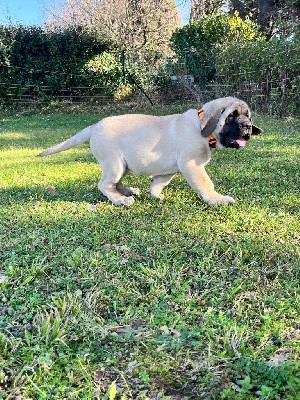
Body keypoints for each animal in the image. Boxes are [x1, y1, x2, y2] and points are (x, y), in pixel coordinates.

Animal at [39, 95, 262, 205]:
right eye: (231, 116)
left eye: (248, 117)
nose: (247, 128)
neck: (202, 129)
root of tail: (94, 127)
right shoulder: (191, 165)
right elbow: (206, 184)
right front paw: (217, 199)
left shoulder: (170, 169)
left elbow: (159, 183)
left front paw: (155, 195)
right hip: (114, 163)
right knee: (104, 185)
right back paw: (121, 200)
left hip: (122, 165)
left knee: (114, 183)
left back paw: (128, 191)